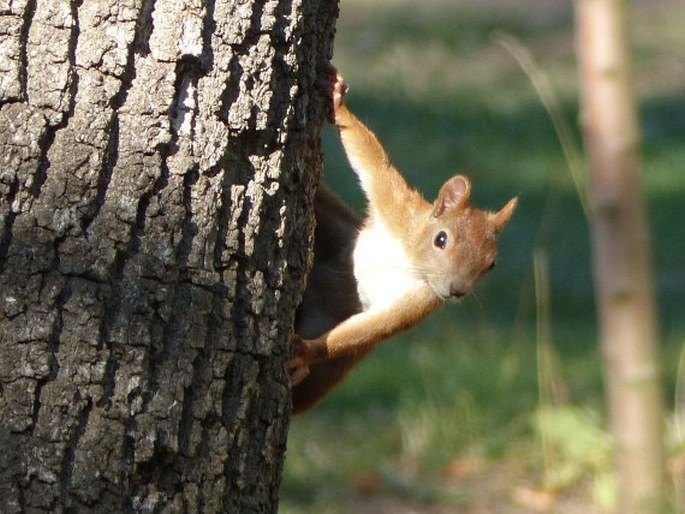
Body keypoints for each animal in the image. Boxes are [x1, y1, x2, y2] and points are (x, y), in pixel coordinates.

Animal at [292, 66, 516, 414]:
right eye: (441, 239)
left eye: (491, 265)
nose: (456, 291)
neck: (409, 260)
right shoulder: (397, 208)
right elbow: (371, 159)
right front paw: (338, 99)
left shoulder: (423, 300)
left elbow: (376, 327)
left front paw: (307, 351)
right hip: (339, 233)